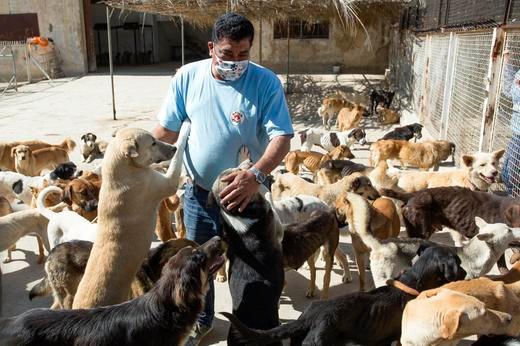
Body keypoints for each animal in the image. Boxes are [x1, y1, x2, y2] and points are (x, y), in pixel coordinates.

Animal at [71, 123, 189, 310]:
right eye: (152, 143)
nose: (173, 148)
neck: (121, 171)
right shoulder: (167, 183)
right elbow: (177, 157)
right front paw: (186, 128)